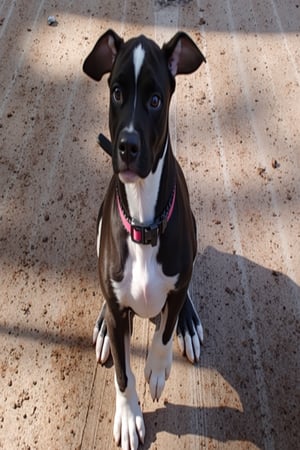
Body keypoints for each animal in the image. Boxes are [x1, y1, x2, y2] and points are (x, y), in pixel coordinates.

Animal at [84, 30, 206, 450]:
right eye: (117, 92)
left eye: (155, 100)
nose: (128, 146)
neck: (143, 221)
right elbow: (123, 372)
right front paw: (128, 415)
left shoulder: (177, 279)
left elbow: (164, 331)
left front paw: (156, 365)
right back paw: (105, 324)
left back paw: (187, 320)